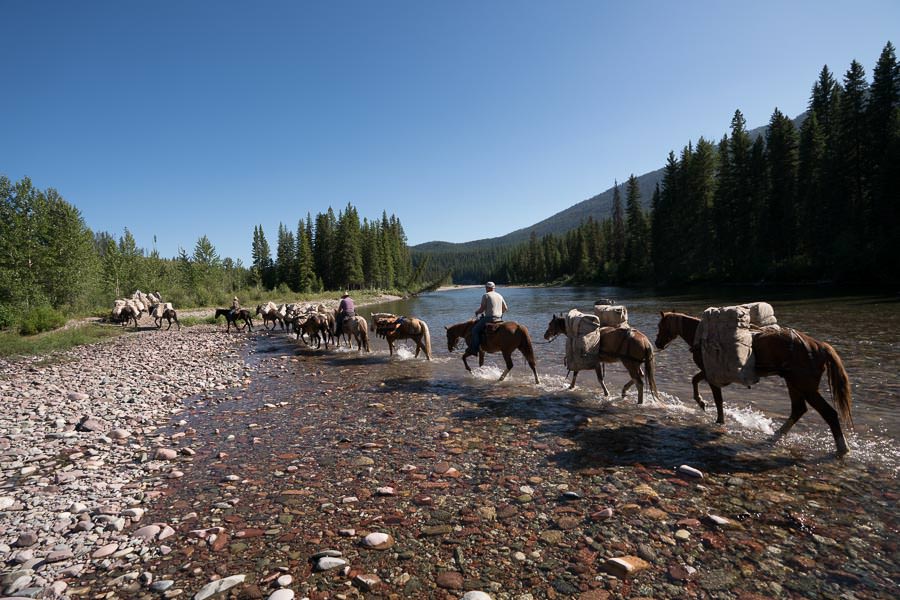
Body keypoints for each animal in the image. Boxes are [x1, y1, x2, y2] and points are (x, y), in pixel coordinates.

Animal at [652, 314, 852, 454]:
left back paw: (843, 448)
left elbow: (716, 399)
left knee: (829, 413)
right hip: (793, 384)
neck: (702, 337)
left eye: (660, 326)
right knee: (798, 409)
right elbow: (695, 380)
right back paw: (777, 434)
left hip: (805, 387)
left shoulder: (711, 375)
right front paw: (702, 403)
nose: (657, 343)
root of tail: (820, 345)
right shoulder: (708, 373)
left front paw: (714, 416)